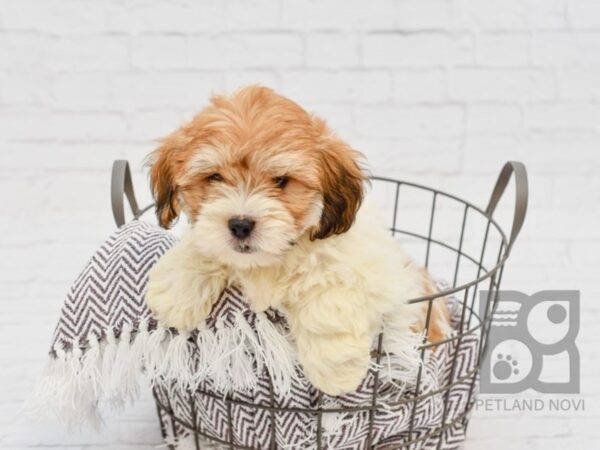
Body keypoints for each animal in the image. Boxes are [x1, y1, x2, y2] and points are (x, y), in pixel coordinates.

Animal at [144, 86, 446, 396]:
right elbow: (202, 247)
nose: (240, 225)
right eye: (214, 177)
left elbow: (328, 294)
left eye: (281, 180)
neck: (273, 259)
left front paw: (337, 369)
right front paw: (175, 292)